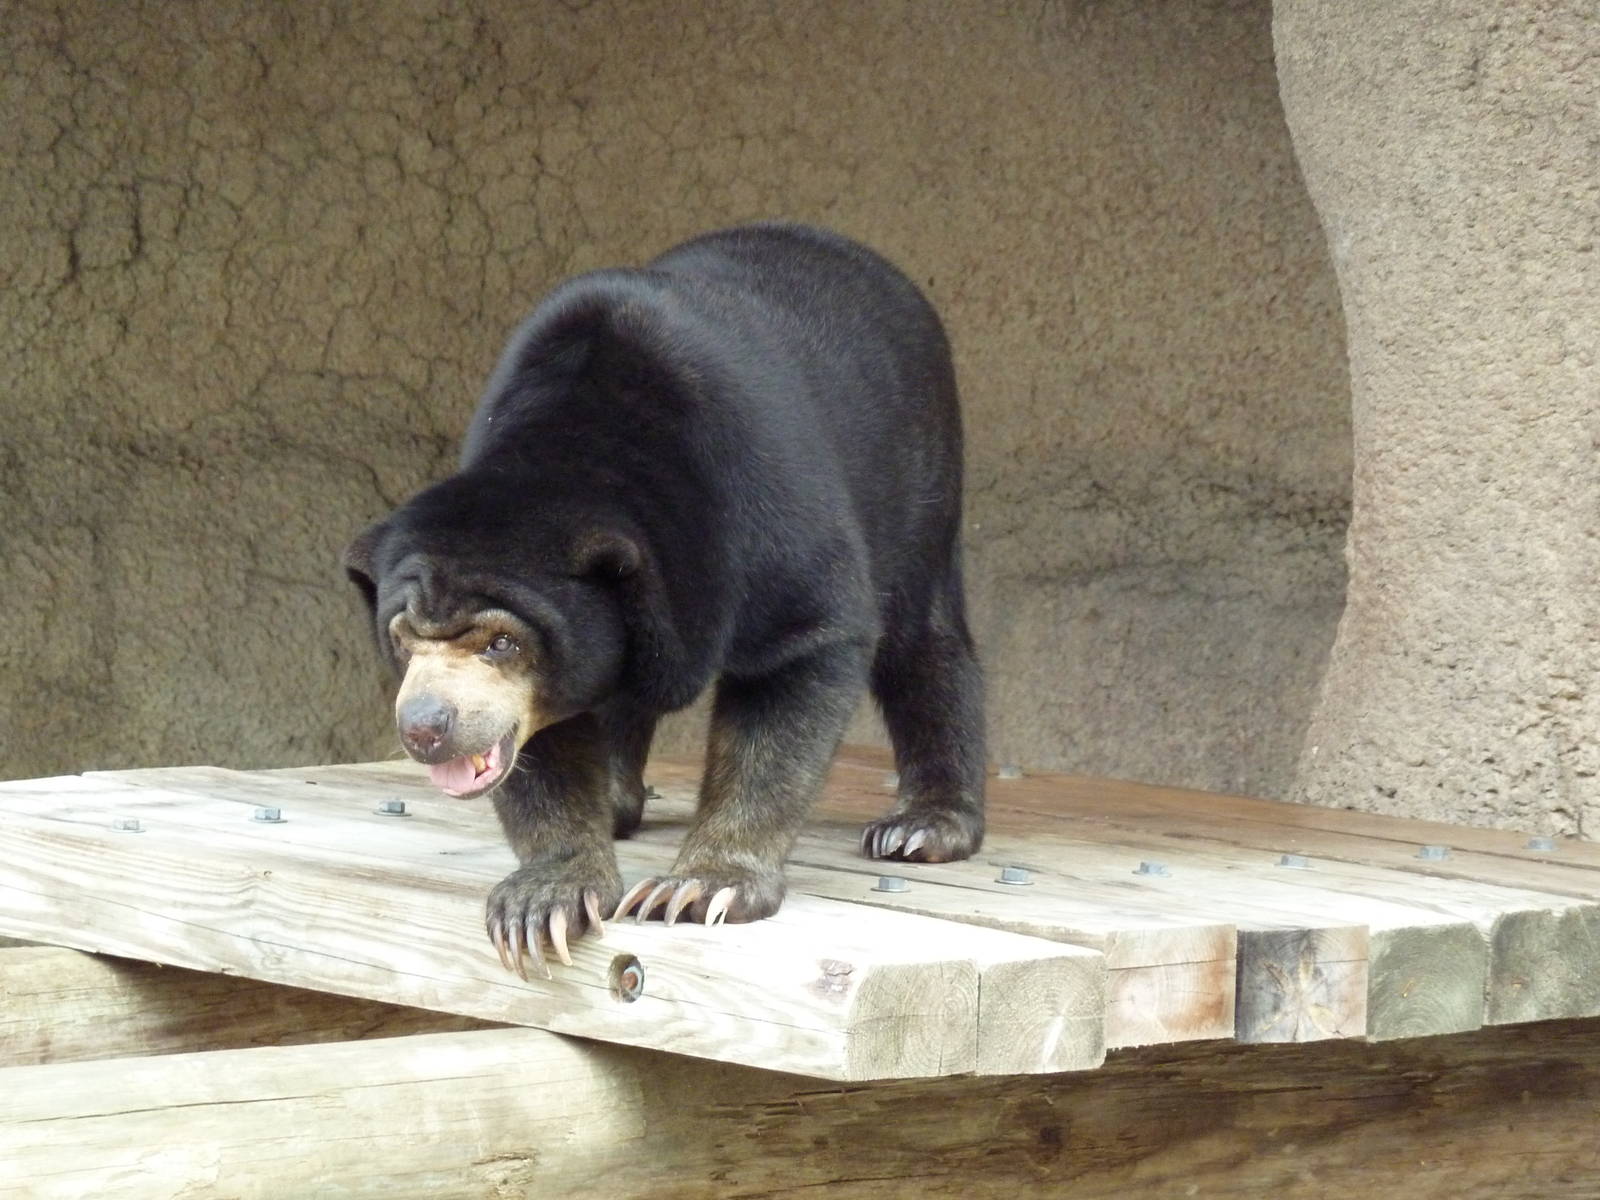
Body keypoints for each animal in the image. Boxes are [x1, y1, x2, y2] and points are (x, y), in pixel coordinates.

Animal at [341, 222, 985, 978]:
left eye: (502, 641)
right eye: (404, 638)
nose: (425, 727)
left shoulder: (765, 509)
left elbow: (799, 662)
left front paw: (703, 888)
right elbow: (542, 745)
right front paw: (544, 900)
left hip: (918, 471)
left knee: (922, 637)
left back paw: (922, 826)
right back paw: (619, 801)